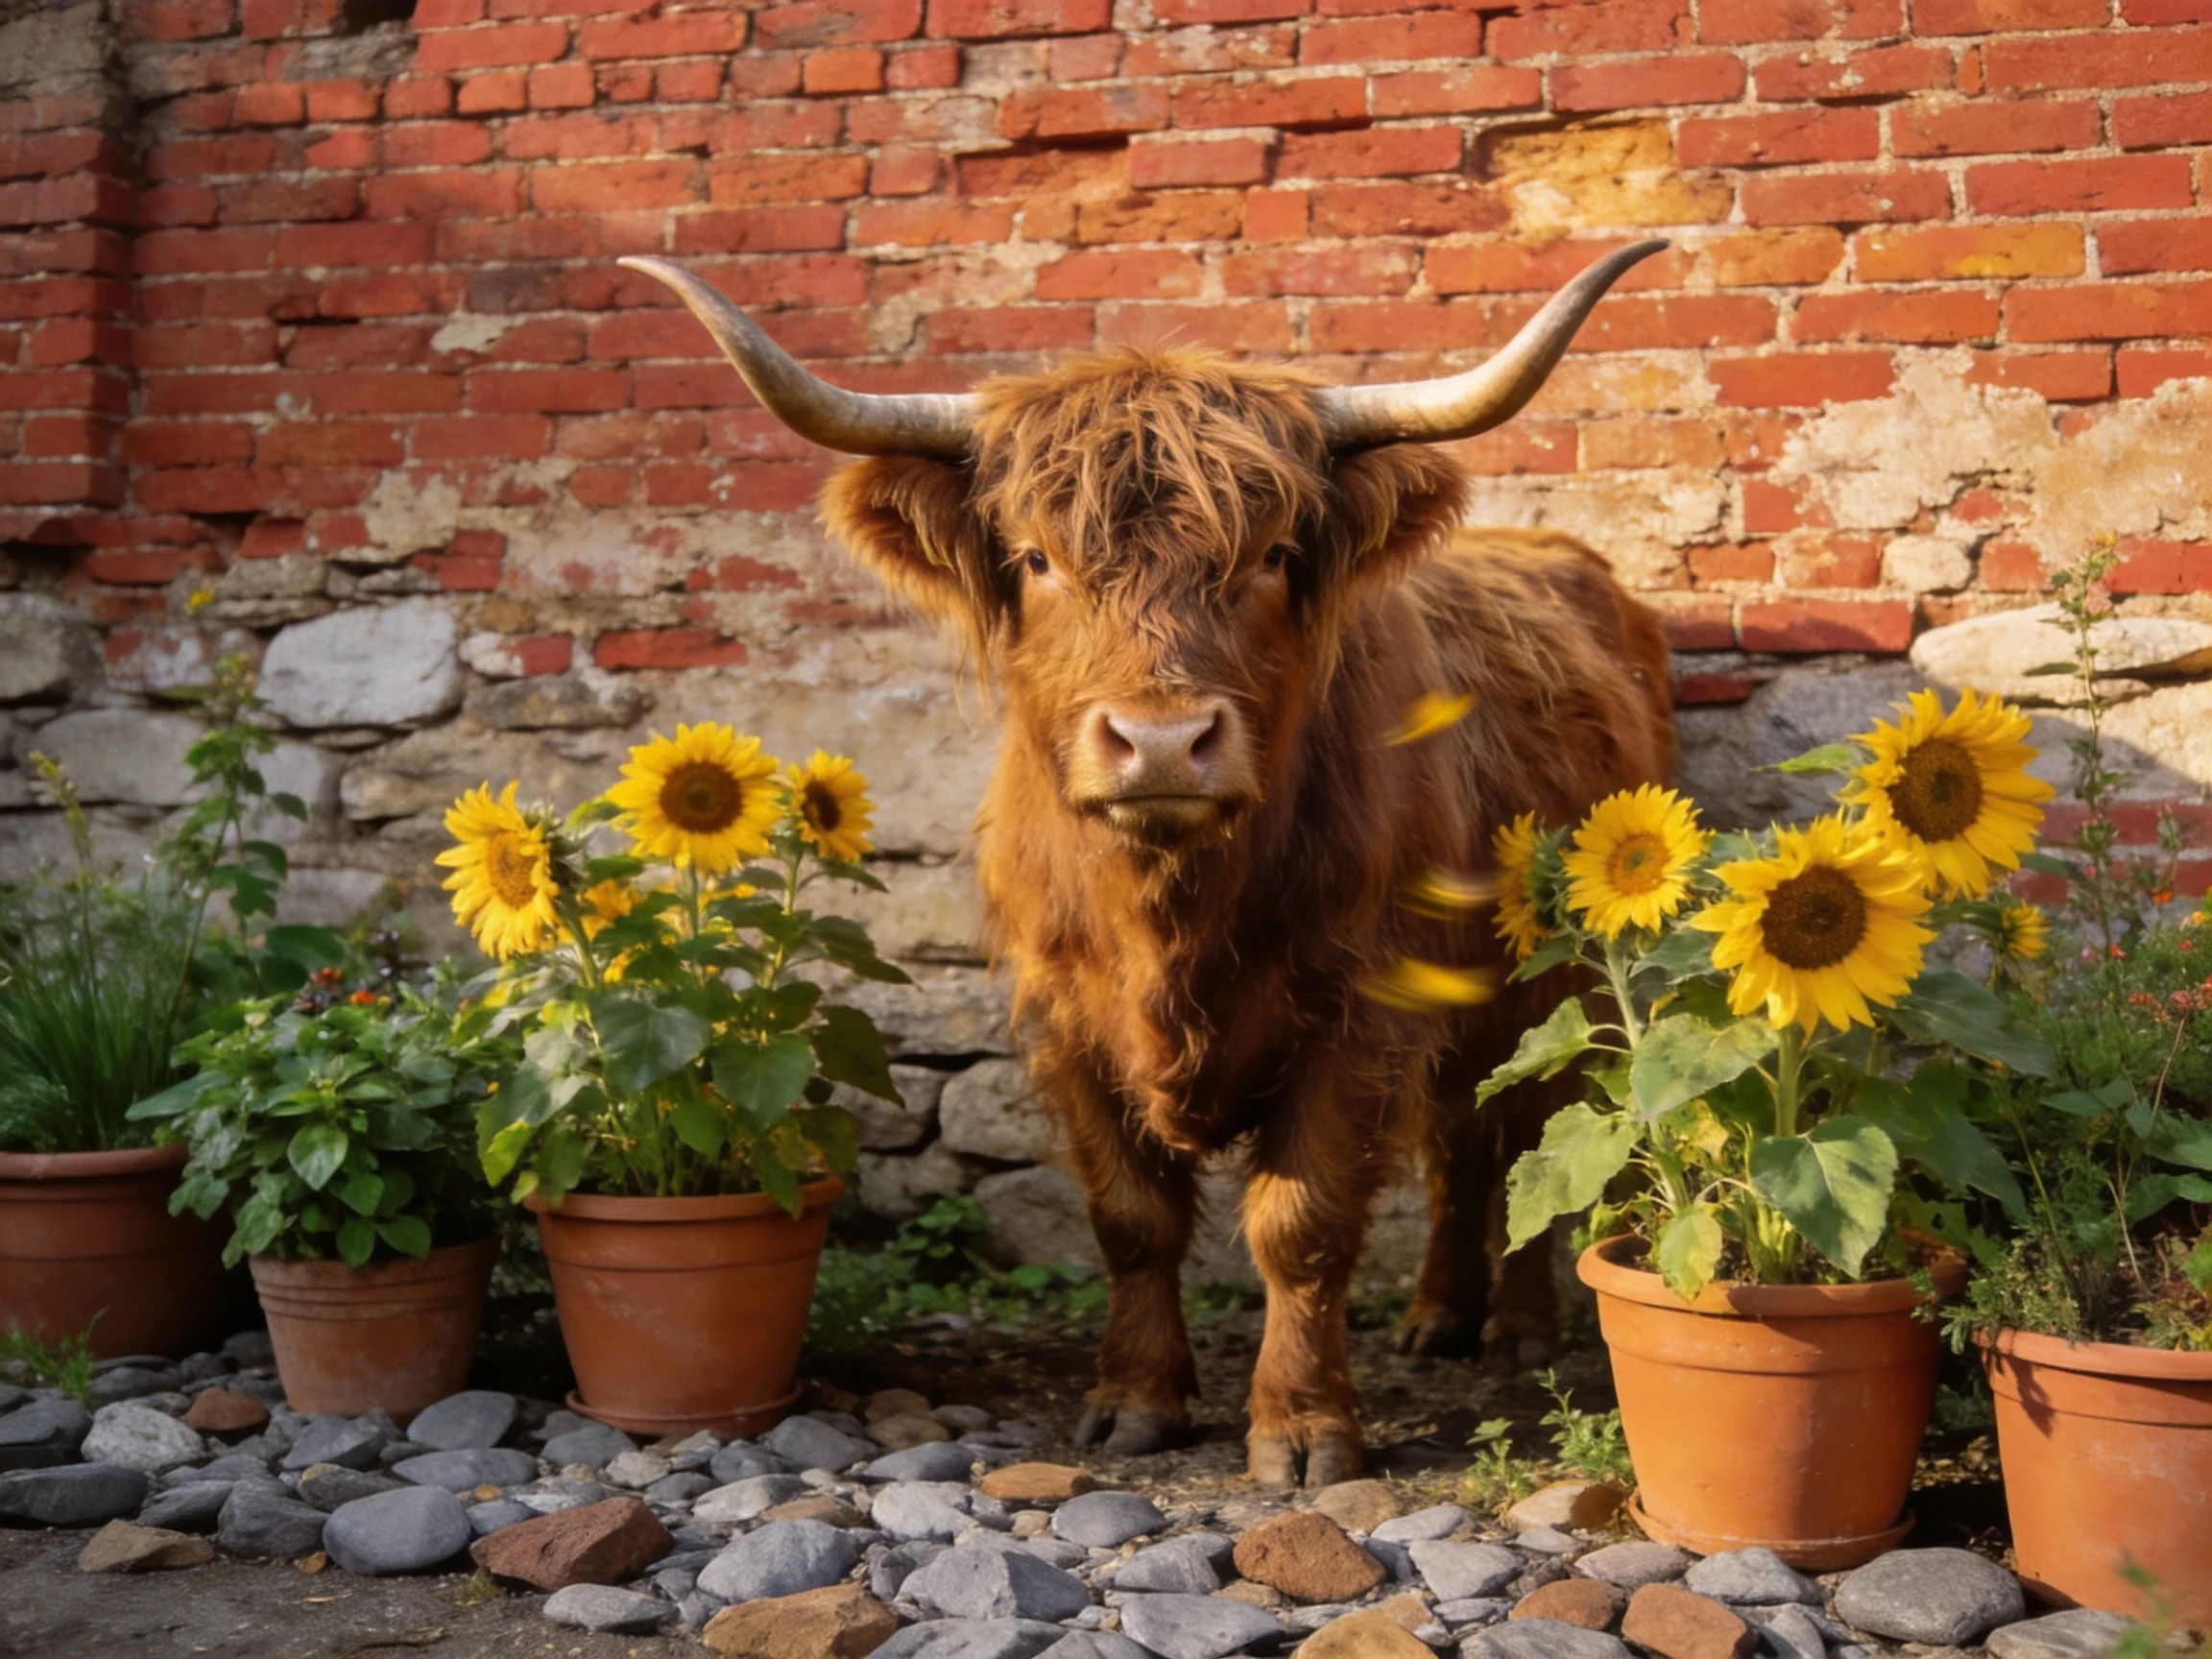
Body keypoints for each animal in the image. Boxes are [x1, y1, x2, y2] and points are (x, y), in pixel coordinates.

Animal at [623, 244, 1678, 1487]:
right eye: (1036, 558)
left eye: (1273, 556)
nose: (1164, 741)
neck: (1172, 911)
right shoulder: (1065, 1016)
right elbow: (1131, 1220)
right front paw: (1136, 1401)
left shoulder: (1359, 1012)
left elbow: (1301, 1223)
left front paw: (1304, 1429)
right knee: (1464, 1137)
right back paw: (1436, 1316)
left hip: (1556, 982)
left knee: (1521, 1129)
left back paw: (1513, 1327)